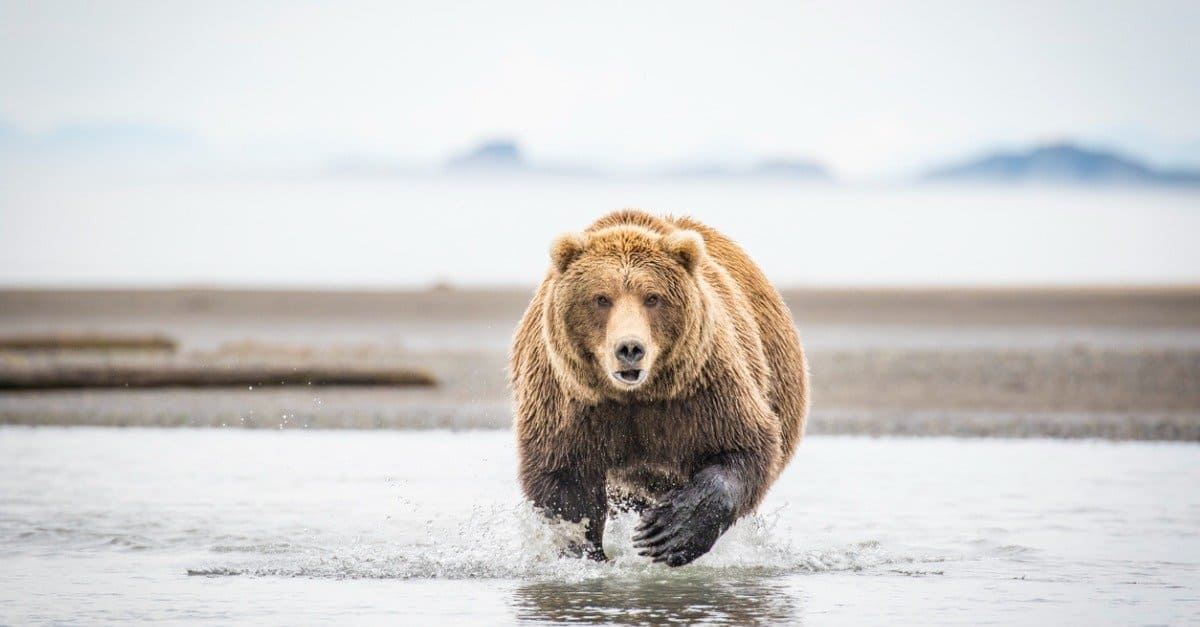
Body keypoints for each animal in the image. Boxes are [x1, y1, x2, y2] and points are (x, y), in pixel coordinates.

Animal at [510, 209, 808, 567]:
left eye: (652, 297)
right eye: (601, 298)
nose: (629, 348)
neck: (635, 396)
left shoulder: (702, 389)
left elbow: (743, 445)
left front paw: (669, 532)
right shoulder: (570, 402)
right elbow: (565, 484)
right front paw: (585, 553)